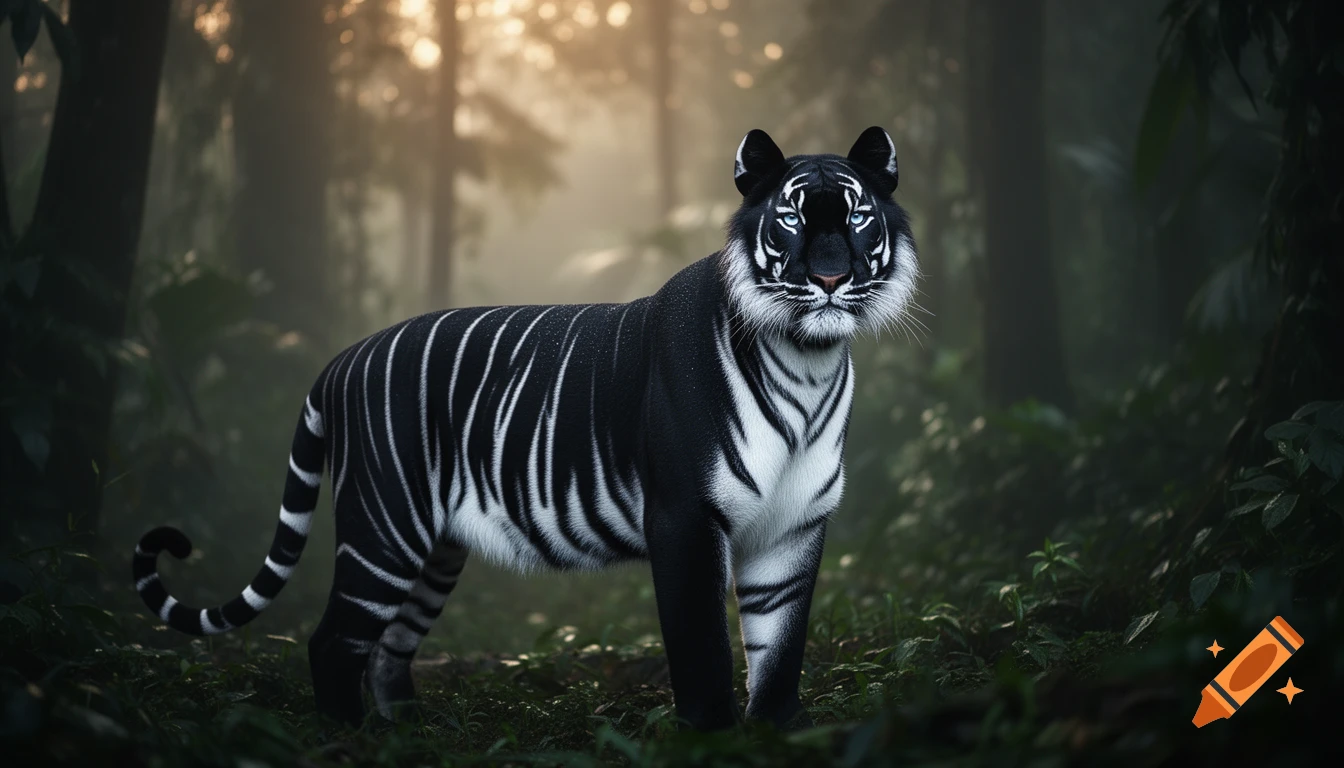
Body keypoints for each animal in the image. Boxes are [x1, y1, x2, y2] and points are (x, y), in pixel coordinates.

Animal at [132, 126, 918, 731]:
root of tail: (339, 360)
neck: (808, 361)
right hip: (385, 529)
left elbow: (779, 645)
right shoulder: (687, 520)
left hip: (435, 550)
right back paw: (347, 739)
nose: (829, 280)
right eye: (790, 218)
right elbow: (701, 644)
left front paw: (781, 731)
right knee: (333, 641)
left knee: (391, 646)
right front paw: (713, 736)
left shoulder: (794, 525)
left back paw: (409, 732)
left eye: (855, 218)